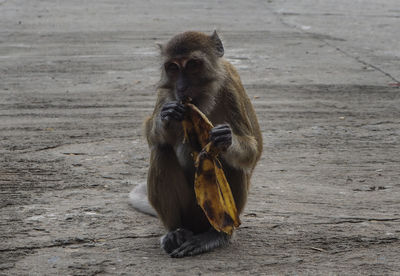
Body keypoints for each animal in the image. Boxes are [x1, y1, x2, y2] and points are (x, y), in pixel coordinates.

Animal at [130, 31, 264, 258]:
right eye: (173, 67)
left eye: (193, 64)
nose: (182, 87)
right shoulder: (167, 93)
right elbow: (152, 136)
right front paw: (166, 117)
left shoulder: (232, 86)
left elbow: (254, 150)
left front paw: (225, 138)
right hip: (188, 213)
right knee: (161, 150)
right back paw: (175, 232)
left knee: (230, 164)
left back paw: (216, 235)